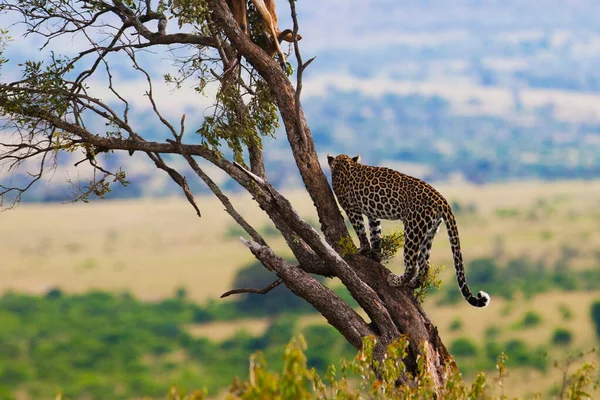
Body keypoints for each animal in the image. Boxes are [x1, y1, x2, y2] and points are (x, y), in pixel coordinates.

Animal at [326, 155, 490, 308]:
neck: (343, 164)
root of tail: (441, 199)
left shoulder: (351, 208)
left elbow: (360, 229)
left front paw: (363, 249)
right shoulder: (373, 215)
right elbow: (375, 233)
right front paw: (375, 254)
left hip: (413, 228)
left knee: (412, 265)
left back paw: (396, 281)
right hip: (429, 232)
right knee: (424, 265)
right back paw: (413, 284)